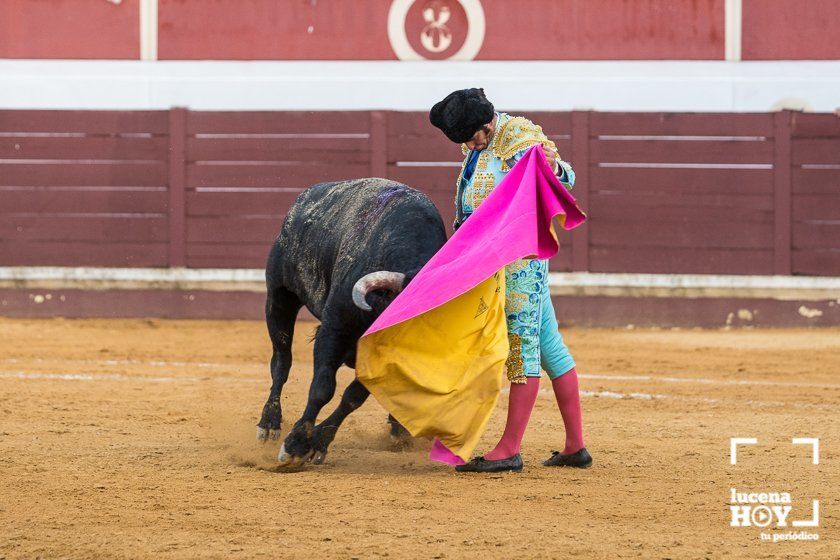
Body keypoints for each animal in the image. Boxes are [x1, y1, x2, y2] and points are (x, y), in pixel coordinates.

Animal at [256, 178, 450, 464]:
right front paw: (296, 445)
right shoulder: (333, 331)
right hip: (280, 297)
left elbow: (352, 397)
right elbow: (322, 388)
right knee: (281, 362)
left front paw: (318, 442)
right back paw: (269, 424)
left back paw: (399, 429)